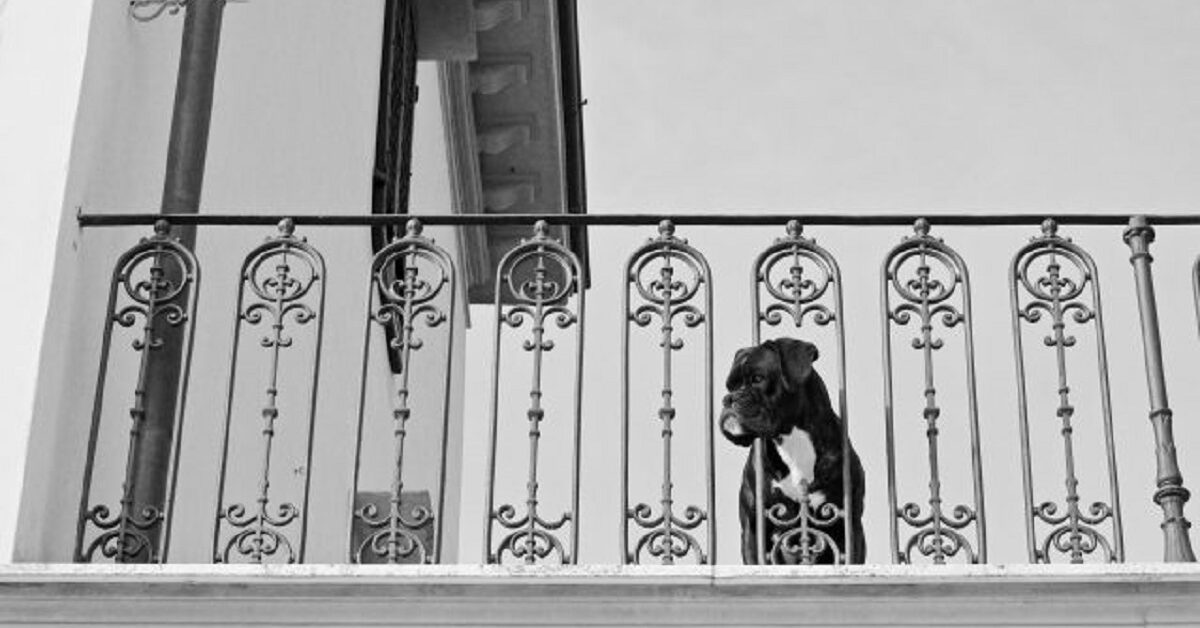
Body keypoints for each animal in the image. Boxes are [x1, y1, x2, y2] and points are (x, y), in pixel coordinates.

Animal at [720, 338, 864, 564]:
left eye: (757, 378)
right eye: (729, 386)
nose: (728, 398)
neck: (792, 440)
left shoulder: (851, 526)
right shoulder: (752, 528)